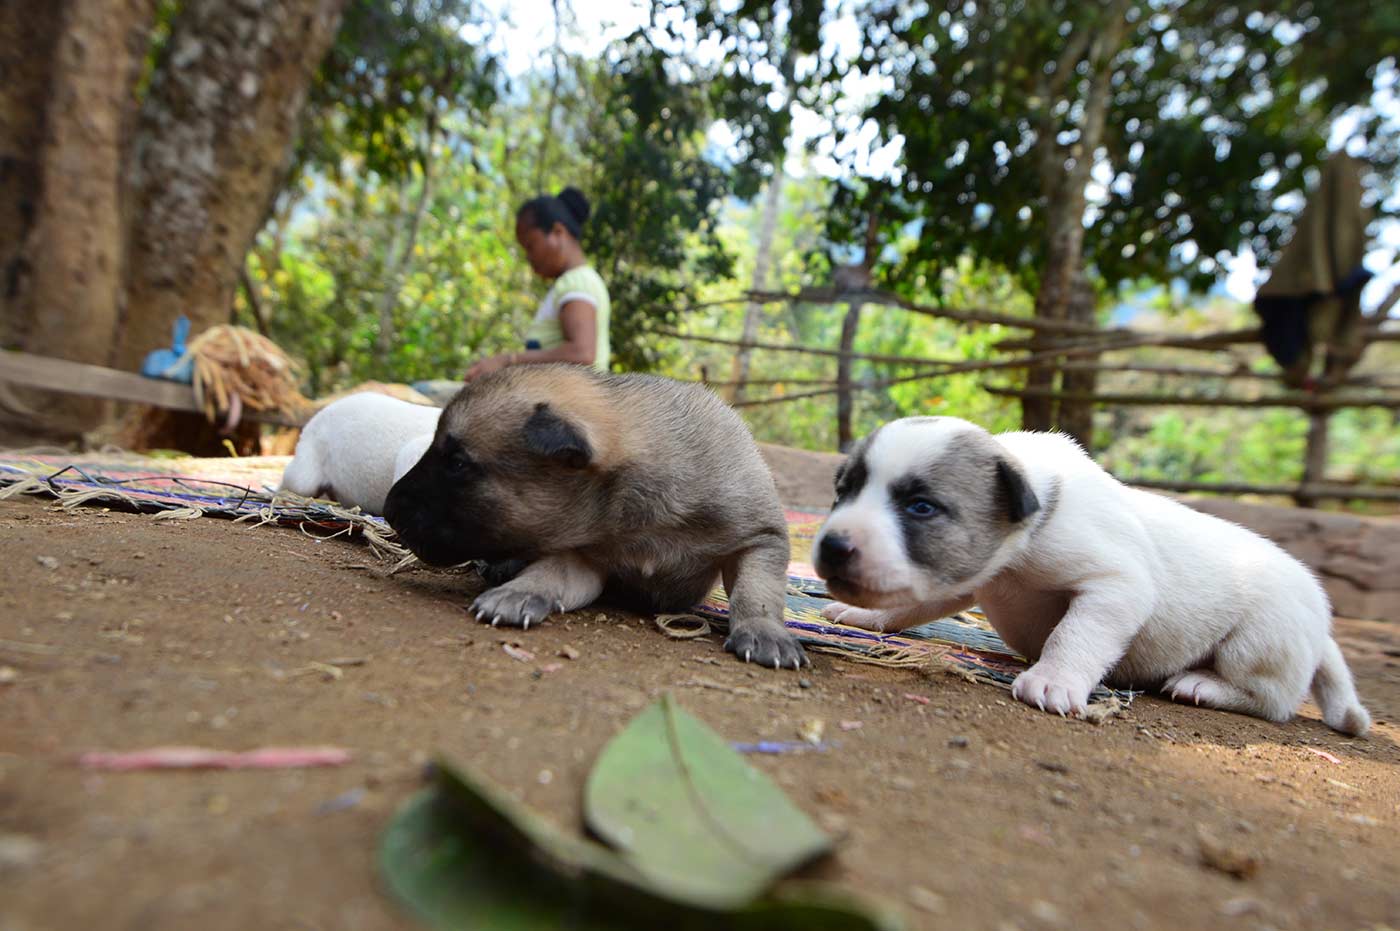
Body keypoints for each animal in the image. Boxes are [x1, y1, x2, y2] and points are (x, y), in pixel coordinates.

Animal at [383, 364, 806, 669]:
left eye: (457, 463)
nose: (388, 510)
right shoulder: (584, 557)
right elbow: (549, 573)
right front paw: (520, 591)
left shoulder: (760, 538)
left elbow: (757, 590)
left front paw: (764, 631)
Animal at [817, 414, 1372, 733]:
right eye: (842, 491)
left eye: (921, 507)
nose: (832, 546)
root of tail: (1322, 629)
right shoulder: (963, 577)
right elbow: (910, 603)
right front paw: (863, 616)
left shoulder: (1115, 586)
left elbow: (1074, 635)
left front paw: (1053, 680)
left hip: (1257, 642)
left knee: (1272, 701)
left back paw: (1203, 686)